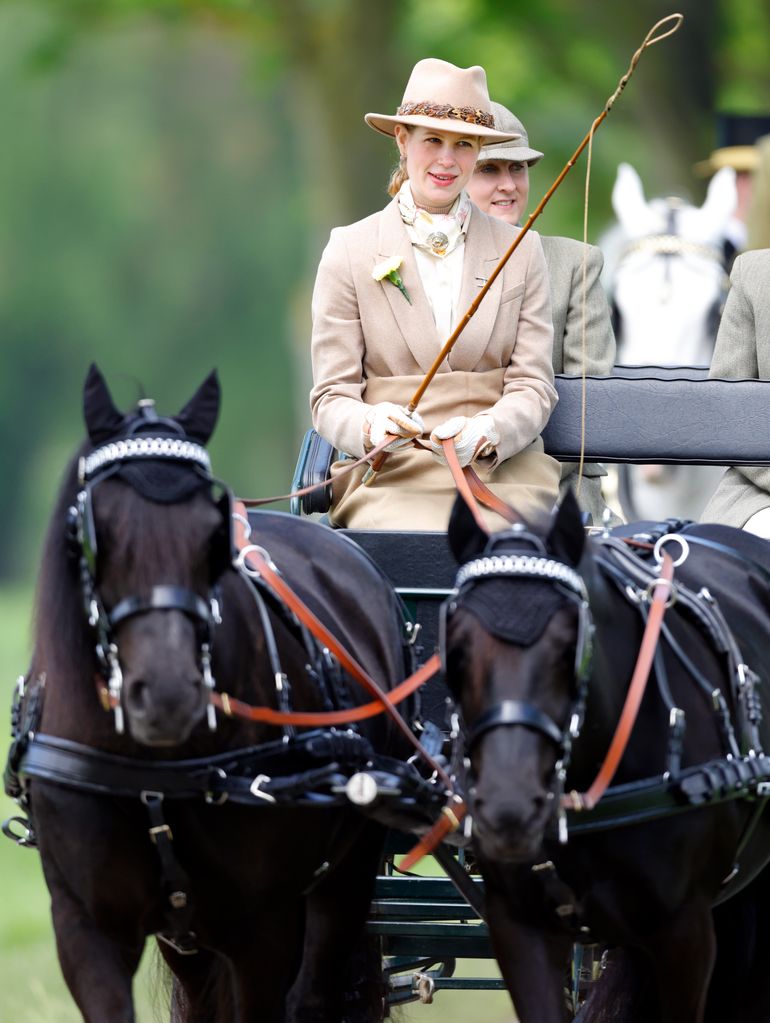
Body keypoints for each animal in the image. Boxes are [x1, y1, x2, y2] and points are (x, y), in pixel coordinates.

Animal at [7, 368, 415, 1023]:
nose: (168, 696)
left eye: (210, 533)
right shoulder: (87, 930)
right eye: (98, 533)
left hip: (343, 878)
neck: (155, 773)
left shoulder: (262, 931)